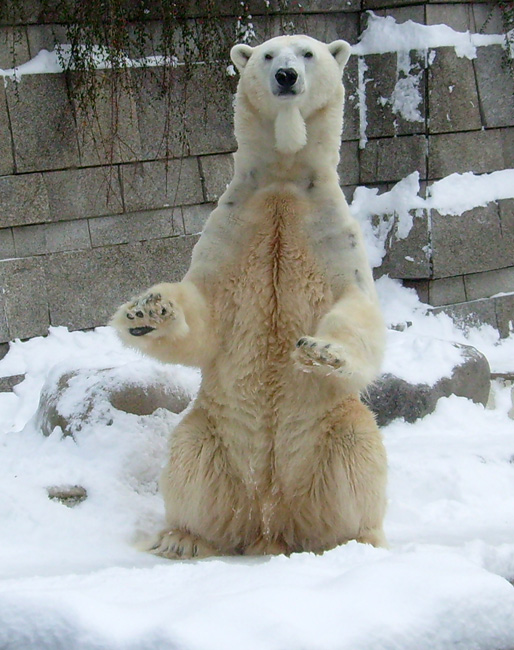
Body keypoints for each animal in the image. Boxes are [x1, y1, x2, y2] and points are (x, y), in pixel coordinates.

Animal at [110, 33, 386, 556]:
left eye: (308, 53)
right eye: (267, 55)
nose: (286, 76)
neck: (284, 176)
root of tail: (270, 523)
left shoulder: (332, 229)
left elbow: (356, 307)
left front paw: (321, 351)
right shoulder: (234, 221)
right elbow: (205, 310)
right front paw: (147, 310)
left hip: (335, 423)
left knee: (356, 457)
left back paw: (350, 542)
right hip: (210, 430)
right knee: (190, 463)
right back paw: (184, 538)